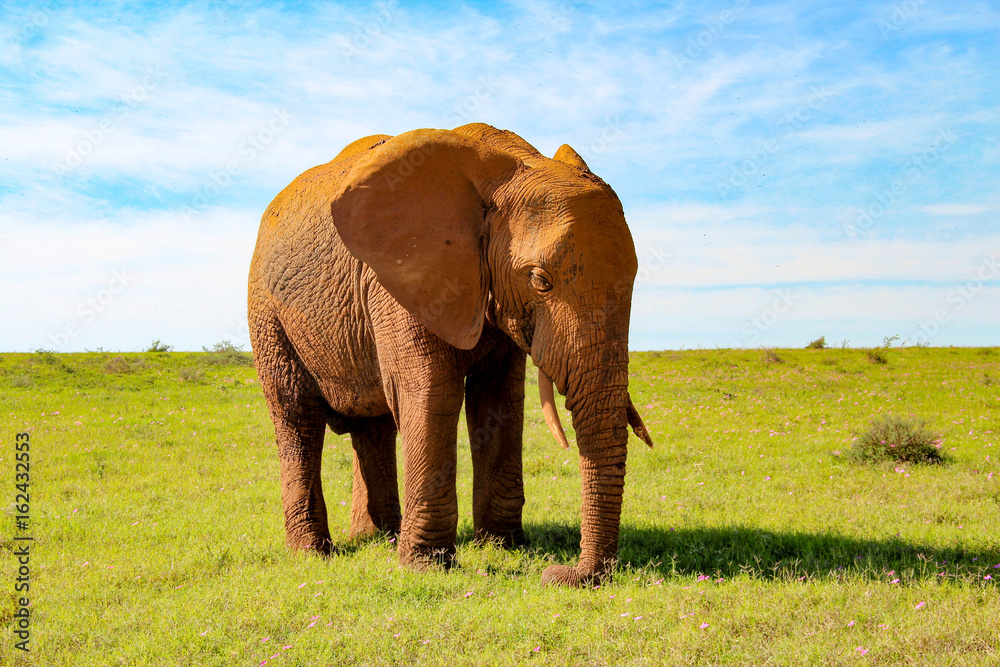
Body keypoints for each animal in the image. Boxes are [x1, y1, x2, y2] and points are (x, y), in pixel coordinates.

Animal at [248, 122, 652, 587]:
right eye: (540, 281)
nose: (563, 574)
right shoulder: (398, 279)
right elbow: (431, 392)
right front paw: (426, 565)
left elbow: (499, 399)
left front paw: (503, 546)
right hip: (267, 314)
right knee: (297, 418)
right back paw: (315, 553)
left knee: (374, 426)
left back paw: (382, 536)